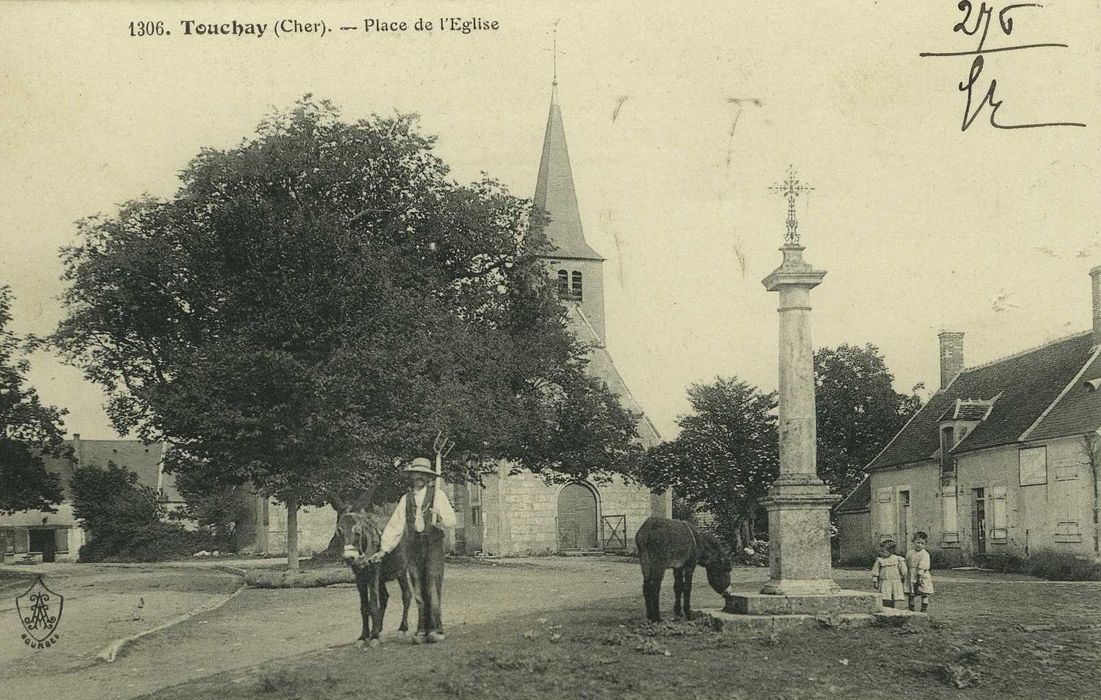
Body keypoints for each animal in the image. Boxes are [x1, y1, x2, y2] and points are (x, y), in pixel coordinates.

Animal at [334, 508, 413, 651]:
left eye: (358, 532)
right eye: (340, 531)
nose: (349, 558)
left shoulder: (374, 572)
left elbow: (373, 605)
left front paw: (374, 637)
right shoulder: (359, 577)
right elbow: (364, 607)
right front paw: (364, 636)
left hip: (403, 570)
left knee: (406, 595)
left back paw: (402, 629)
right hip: (382, 578)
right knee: (385, 597)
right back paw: (377, 629)